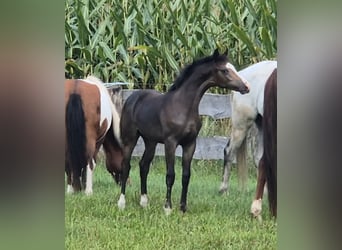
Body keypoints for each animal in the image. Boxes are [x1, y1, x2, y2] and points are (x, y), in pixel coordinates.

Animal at [119, 49, 250, 214]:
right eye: (225, 70)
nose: (246, 87)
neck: (182, 106)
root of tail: (132, 97)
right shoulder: (170, 143)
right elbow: (170, 175)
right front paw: (168, 208)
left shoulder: (190, 144)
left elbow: (186, 176)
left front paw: (183, 208)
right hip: (130, 139)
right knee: (126, 166)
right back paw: (121, 203)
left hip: (151, 142)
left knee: (143, 166)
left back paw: (144, 202)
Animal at [219, 60, 278, 193]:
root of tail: (241, 75)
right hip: (241, 125)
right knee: (229, 152)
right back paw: (224, 189)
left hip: (262, 124)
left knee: (259, 158)